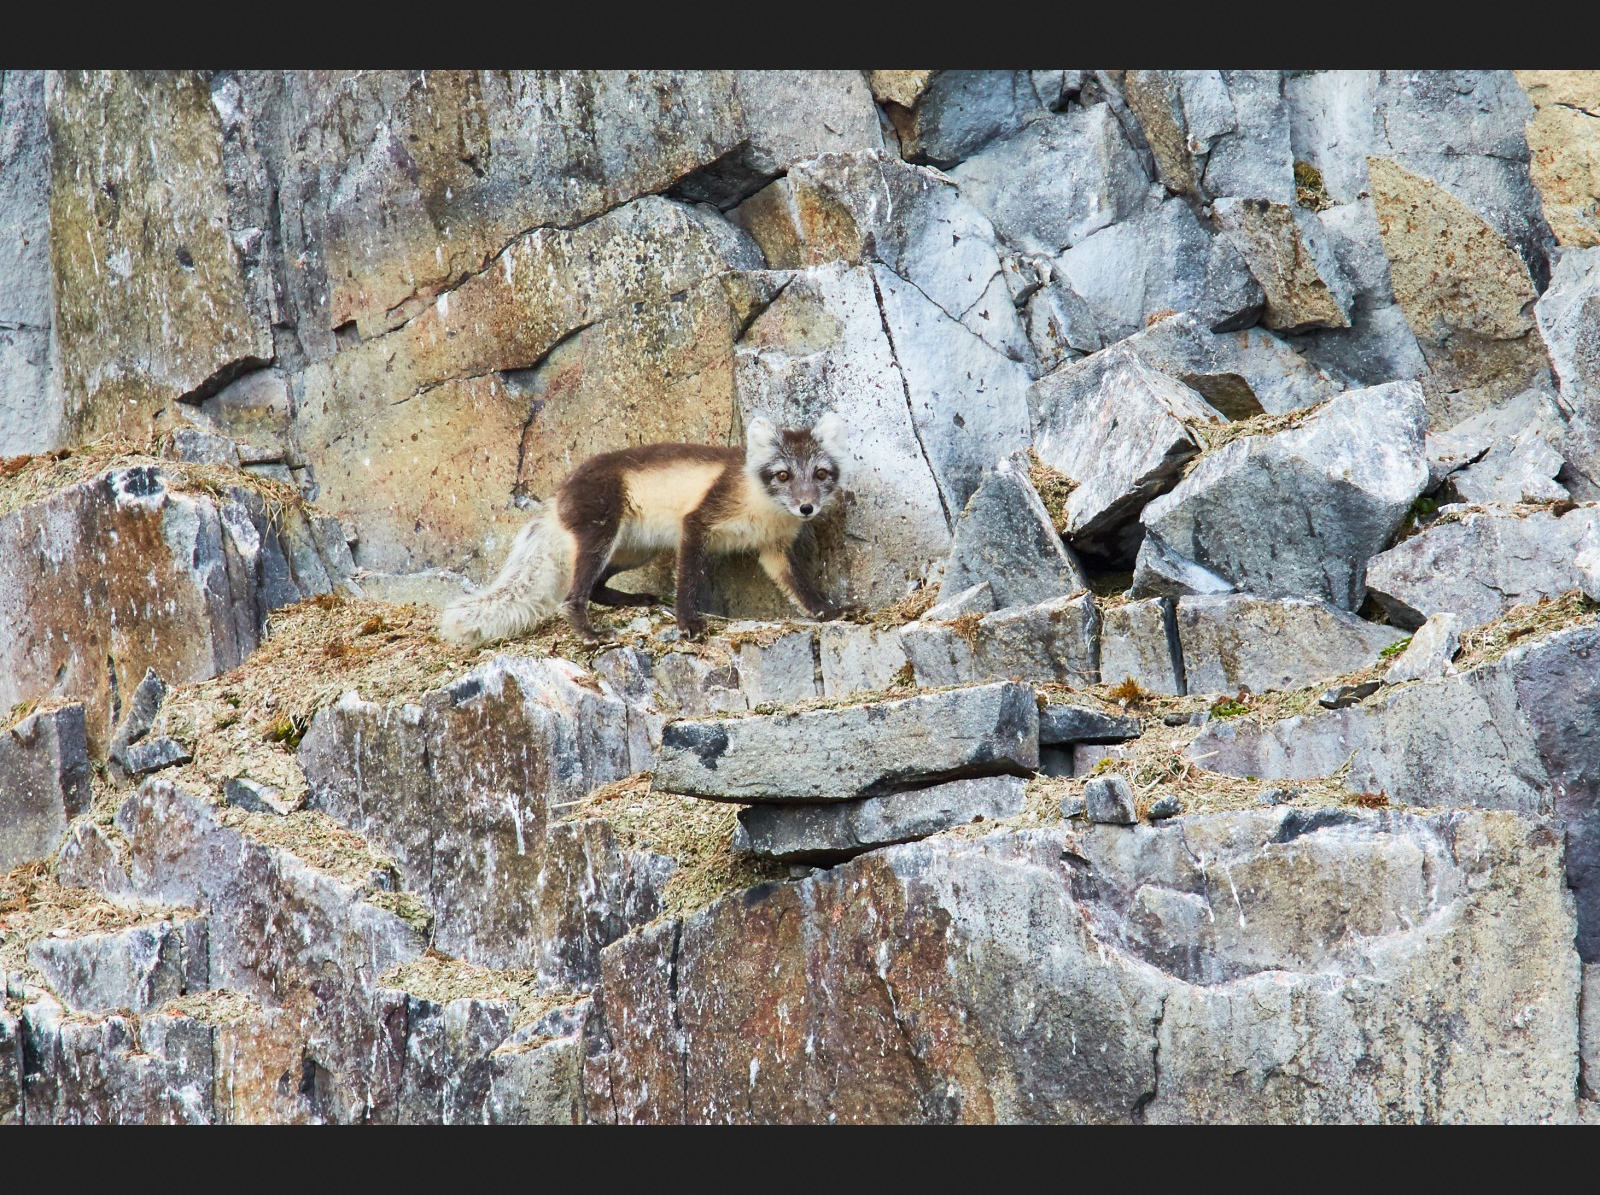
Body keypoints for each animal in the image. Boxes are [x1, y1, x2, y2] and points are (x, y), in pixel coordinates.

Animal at [438, 415, 851, 649]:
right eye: (782, 475)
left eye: (820, 474)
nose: (807, 508)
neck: (761, 502)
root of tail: (557, 495)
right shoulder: (696, 524)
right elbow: (687, 580)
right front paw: (688, 623)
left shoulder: (774, 549)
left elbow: (801, 587)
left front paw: (829, 611)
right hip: (600, 535)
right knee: (573, 597)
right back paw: (591, 636)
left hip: (634, 550)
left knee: (597, 588)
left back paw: (636, 601)